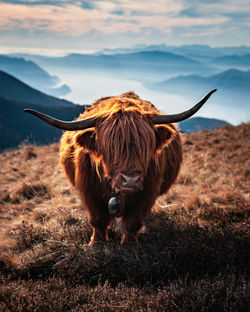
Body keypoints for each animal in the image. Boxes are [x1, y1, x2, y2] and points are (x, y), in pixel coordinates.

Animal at [23, 90, 215, 246]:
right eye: (110, 148)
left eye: (145, 147)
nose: (130, 180)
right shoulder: (89, 192)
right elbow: (98, 220)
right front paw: (96, 244)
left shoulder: (147, 193)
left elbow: (133, 222)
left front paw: (129, 245)